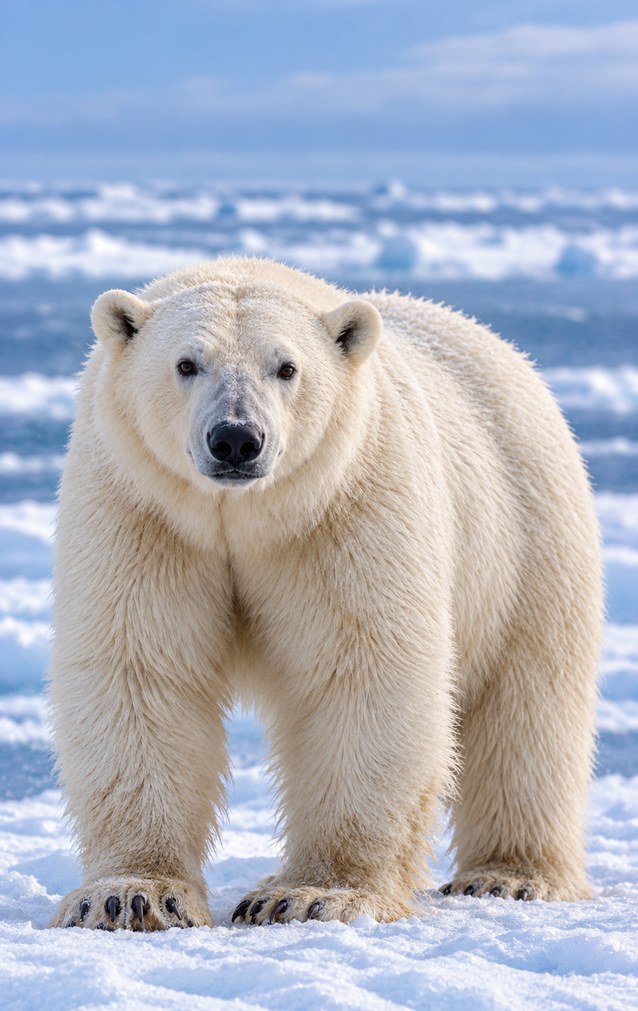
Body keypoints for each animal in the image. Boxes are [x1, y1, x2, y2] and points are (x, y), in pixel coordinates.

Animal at [49, 256, 602, 930]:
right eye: (186, 363)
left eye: (286, 367)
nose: (236, 439)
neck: (244, 515)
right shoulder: (142, 511)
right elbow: (140, 669)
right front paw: (129, 895)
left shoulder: (348, 506)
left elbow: (361, 673)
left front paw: (310, 895)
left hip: (526, 541)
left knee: (527, 709)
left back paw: (510, 876)